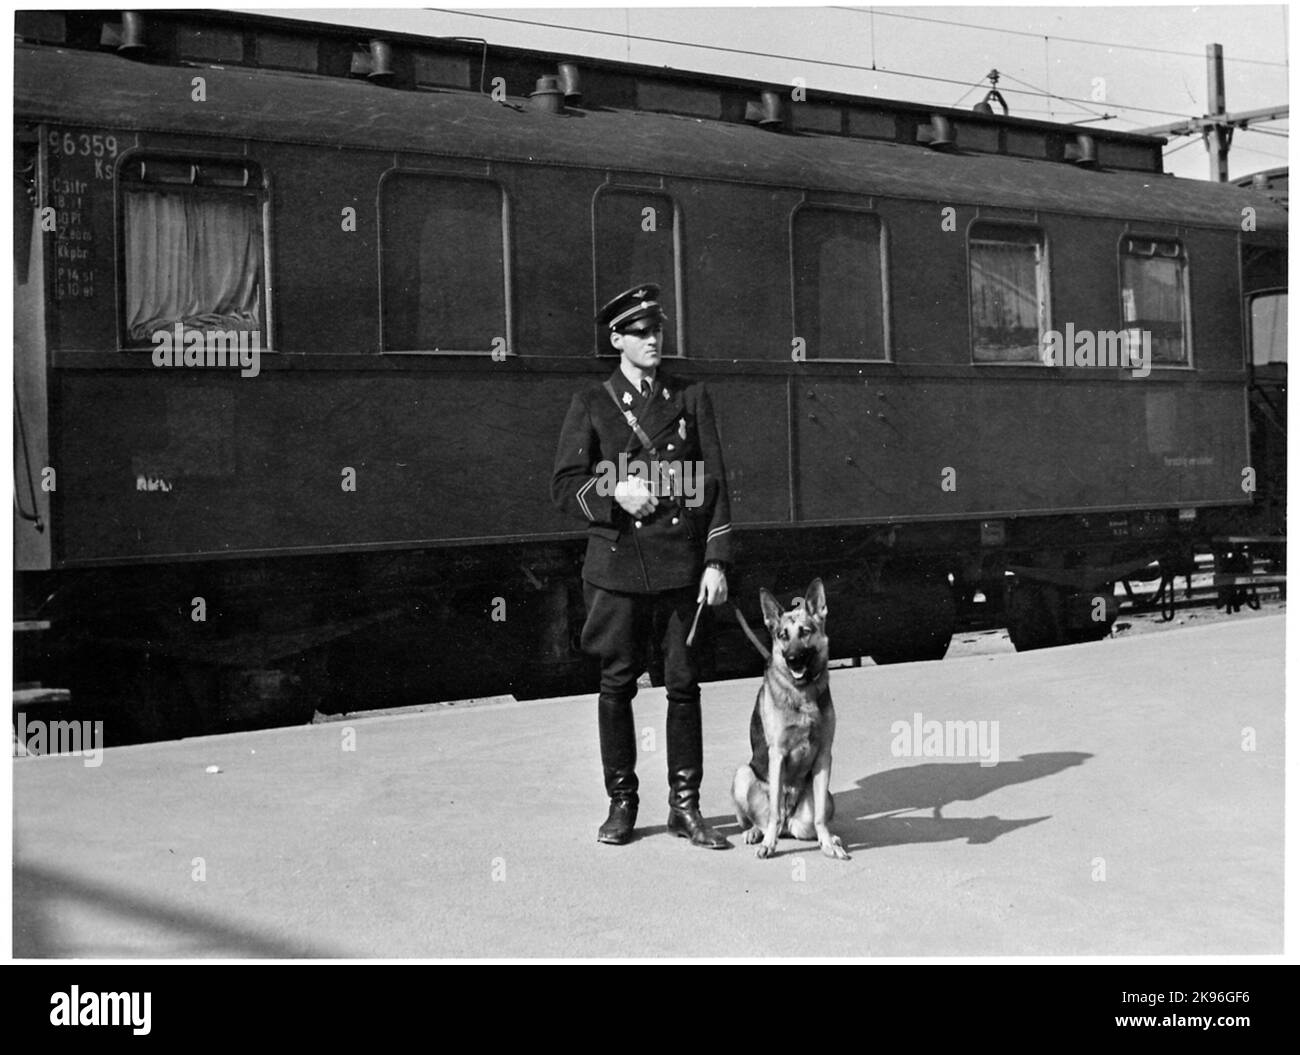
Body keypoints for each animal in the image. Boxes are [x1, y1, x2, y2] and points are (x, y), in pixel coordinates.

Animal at [733, 582, 852, 862]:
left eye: (805, 632)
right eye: (782, 635)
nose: (792, 659)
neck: (802, 692)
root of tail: (788, 826)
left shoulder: (824, 756)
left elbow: (819, 817)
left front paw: (828, 843)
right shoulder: (777, 754)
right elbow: (774, 811)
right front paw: (768, 844)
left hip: (827, 798)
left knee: (808, 822)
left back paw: (829, 837)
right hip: (742, 775)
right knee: (765, 819)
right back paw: (757, 832)